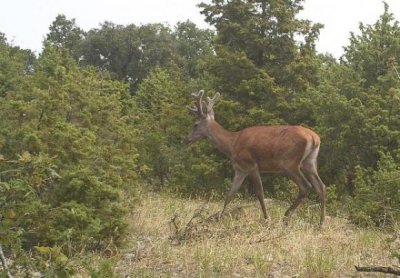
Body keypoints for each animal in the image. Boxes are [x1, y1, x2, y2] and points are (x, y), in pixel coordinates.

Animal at [188, 90, 328, 226]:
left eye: (195, 124)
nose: (187, 138)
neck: (232, 144)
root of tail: (314, 138)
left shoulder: (251, 165)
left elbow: (260, 193)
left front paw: (267, 219)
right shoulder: (240, 169)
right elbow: (230, 194)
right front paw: (218, 218)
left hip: (289, 162)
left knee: (306, 186)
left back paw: (286, 216)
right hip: (310, 161)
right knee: (321, 186)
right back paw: (321, 223)